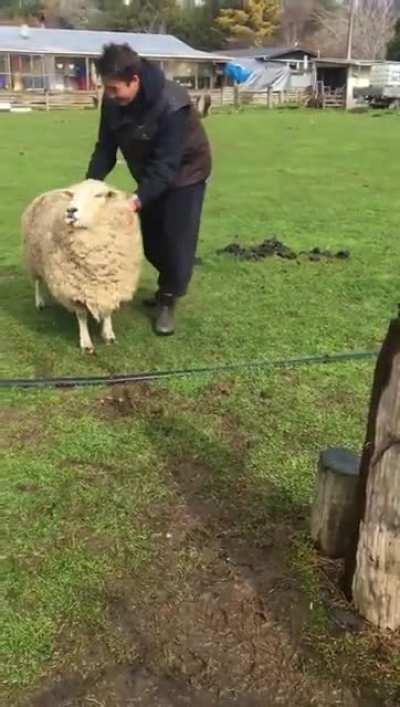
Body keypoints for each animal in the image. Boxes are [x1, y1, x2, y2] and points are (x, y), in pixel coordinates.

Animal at [22, 179, 143, 353]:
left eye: (98, 195)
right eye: (72, 195)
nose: (70, 210)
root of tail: (47, 192)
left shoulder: (112, 284)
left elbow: (107, 311)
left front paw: (108, 333)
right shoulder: (75, 288)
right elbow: (81, 316)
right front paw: (86, 342)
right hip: (33, 256)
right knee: (38, 282)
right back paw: (40, 302)